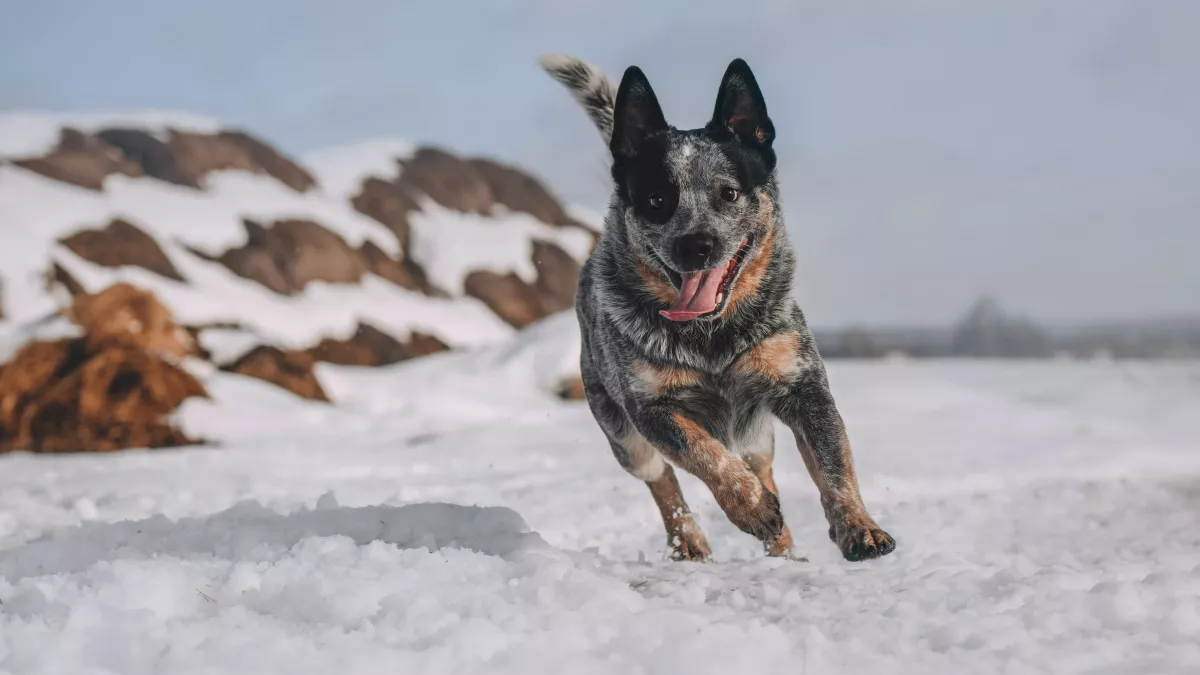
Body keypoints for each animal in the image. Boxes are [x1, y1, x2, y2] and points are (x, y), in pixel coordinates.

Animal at [540, 52, 897, 559]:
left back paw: (783, 550)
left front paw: (858, 526)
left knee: (761, 466)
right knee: (662, 480)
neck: (712, 335)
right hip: (621, 432)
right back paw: (689, 540)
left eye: (729, 192)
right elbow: (705, 454)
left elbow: (834, 464)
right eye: (658, 200)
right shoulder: (652, 408)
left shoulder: (802, 387)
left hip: (756, 433)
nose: (696, 244)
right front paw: (750, 507)